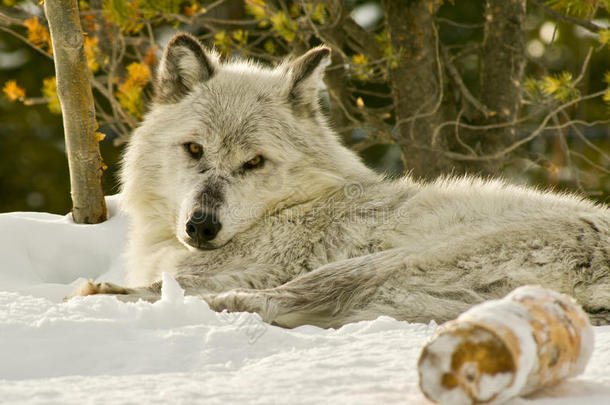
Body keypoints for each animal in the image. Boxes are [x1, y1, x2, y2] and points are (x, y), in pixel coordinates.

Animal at [66, 33, 608, 326]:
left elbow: (173, 282)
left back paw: (104, 296)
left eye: (254, 163)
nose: (201, 226)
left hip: (380, 263)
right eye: (195, 149)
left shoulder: (258, 268)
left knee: (262, 304)